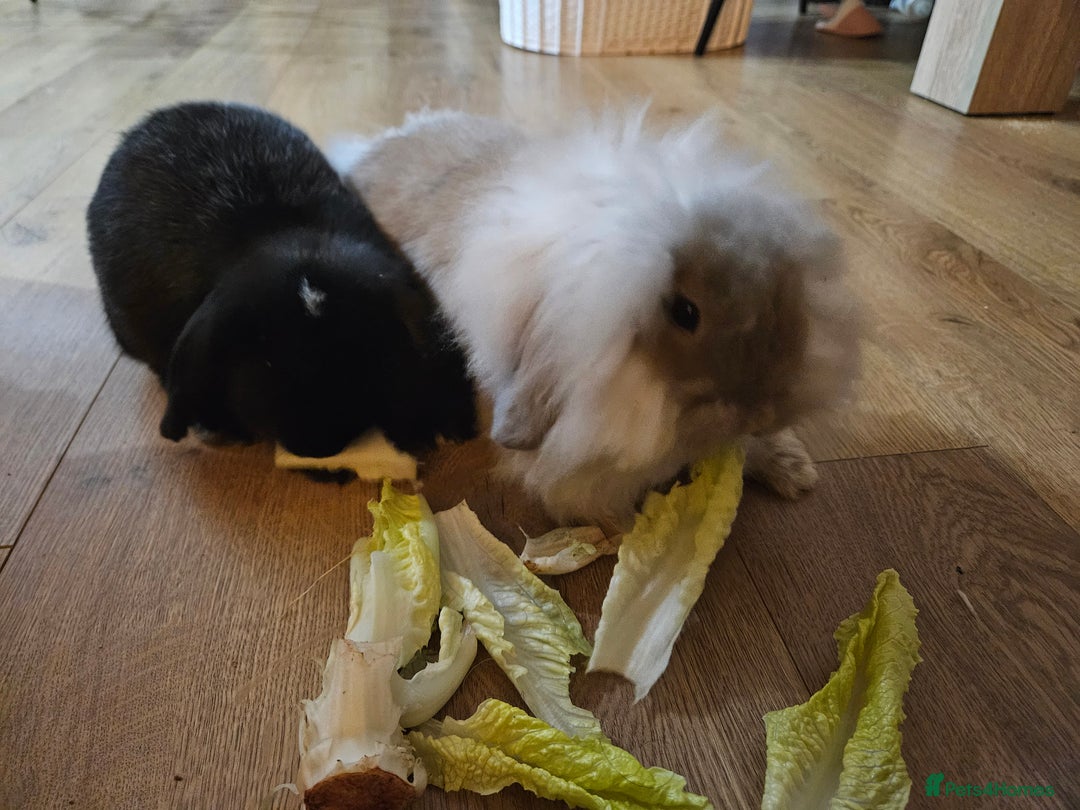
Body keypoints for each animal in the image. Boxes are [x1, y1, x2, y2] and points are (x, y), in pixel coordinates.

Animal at [329, 109, 859, 524]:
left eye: (777, 294)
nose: (763, 410)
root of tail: (370, 146)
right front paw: (626, 527)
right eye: (685, 312)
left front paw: (795, 472)